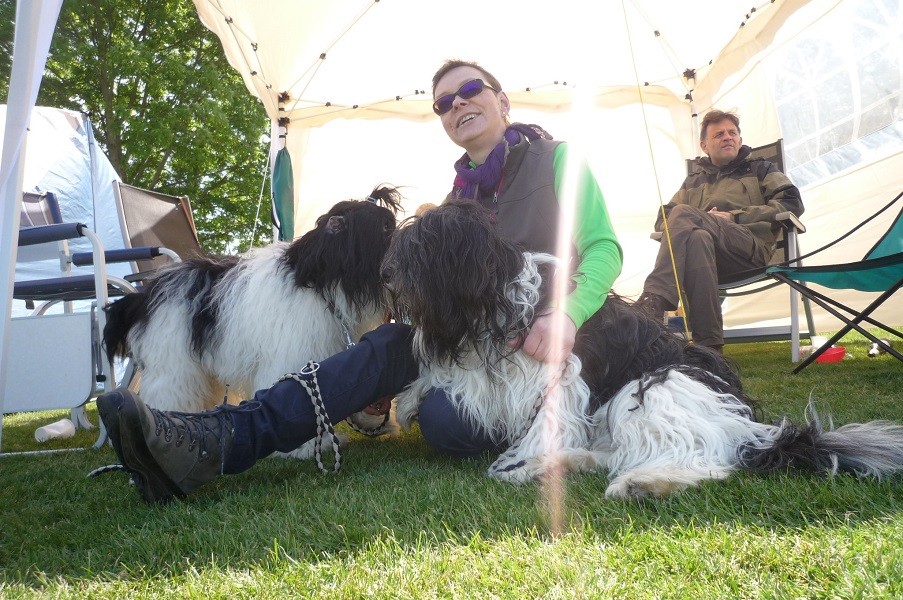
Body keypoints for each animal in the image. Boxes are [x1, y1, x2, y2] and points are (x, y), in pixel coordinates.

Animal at [104, 183, 404, 454]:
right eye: (385, 227)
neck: (319, 281)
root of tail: (145, 294)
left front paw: (368, 421)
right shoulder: (292, 356)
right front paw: (305, 447)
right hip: (173, 364)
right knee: (168, 393)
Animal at [382, 202, 903, 496]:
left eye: (419, 251)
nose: (385, 275)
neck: (497, 294)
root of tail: (750, 430)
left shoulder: (561, 374)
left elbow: (544, 422)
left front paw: (517, 460)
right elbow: (451, 373)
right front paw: (408, 396)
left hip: (654, 386)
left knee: (712, 463)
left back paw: (642, 482)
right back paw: (569, 465)